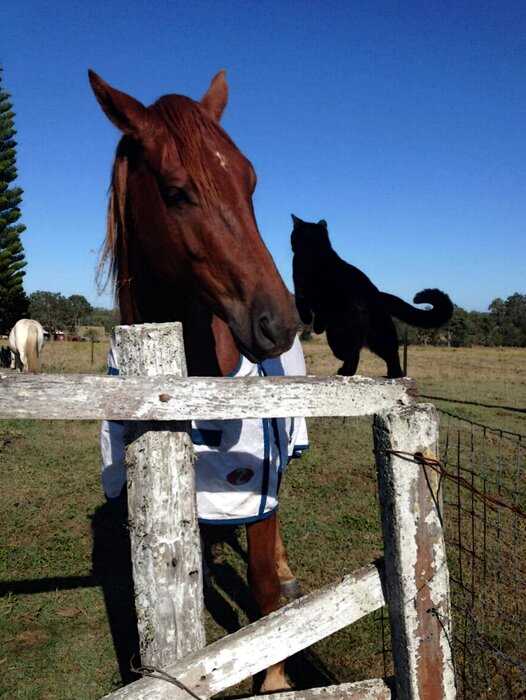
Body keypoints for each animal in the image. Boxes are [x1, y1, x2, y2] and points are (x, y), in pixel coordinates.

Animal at [91, 68, 302, 692]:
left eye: (250, 182)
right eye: (177, 191)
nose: (279, 321)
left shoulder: (259, 487)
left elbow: (262, 591)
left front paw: (274, 681)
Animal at [290, 215, 456, 378]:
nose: (291, 243)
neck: (315, 250)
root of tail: (377, 295)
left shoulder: (305, 294)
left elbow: (306, 309)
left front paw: (313, 324)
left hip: (343, 335)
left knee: (354, 353)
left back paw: (350, 371)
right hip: (378, 334)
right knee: (386, 353)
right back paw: (391, 375)